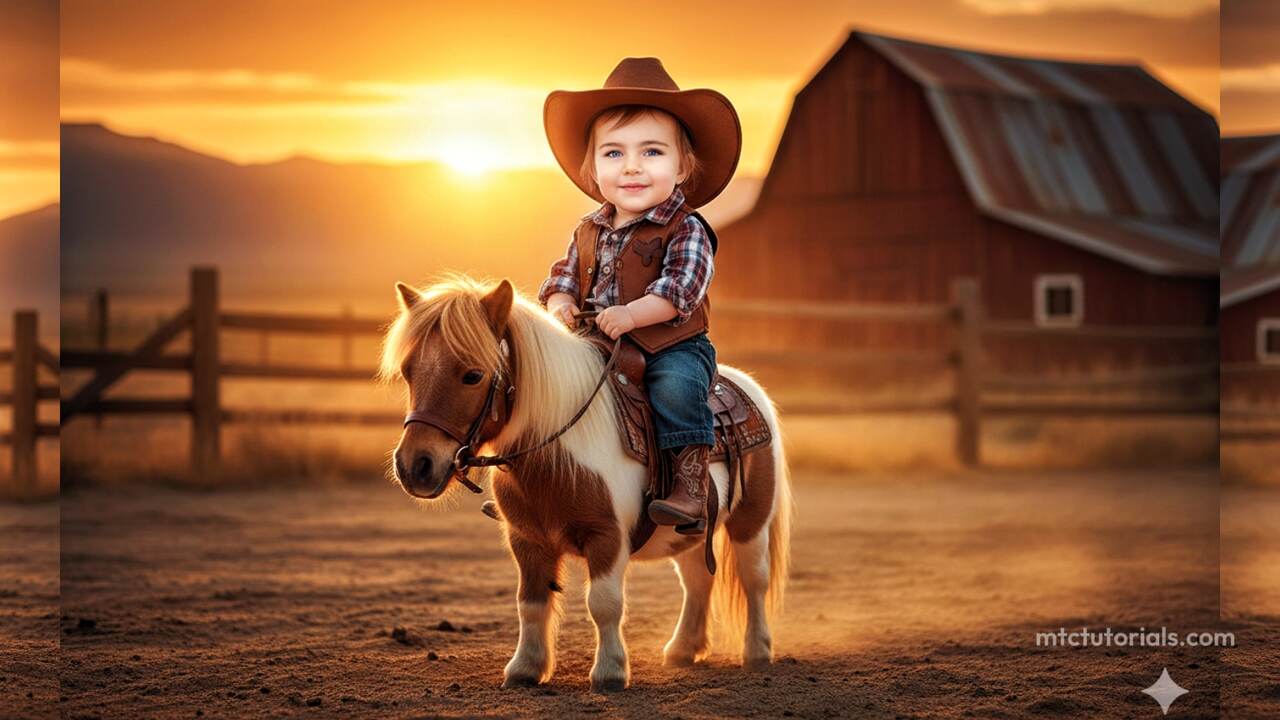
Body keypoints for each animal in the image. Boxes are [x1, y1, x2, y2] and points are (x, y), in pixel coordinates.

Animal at [379, 274, 793, 692]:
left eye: (472, 374)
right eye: (409, 370)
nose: (415, 466)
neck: (558, 447)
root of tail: (747, 387)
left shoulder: (607, 537)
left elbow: (604, 603)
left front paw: (610, 671)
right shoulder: (526, 539)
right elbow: (530, 603)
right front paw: (525, 668)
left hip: (751, 522)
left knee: (754, 579)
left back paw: (757, 650)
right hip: (688, 529)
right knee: (697, 581)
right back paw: (683, 649)